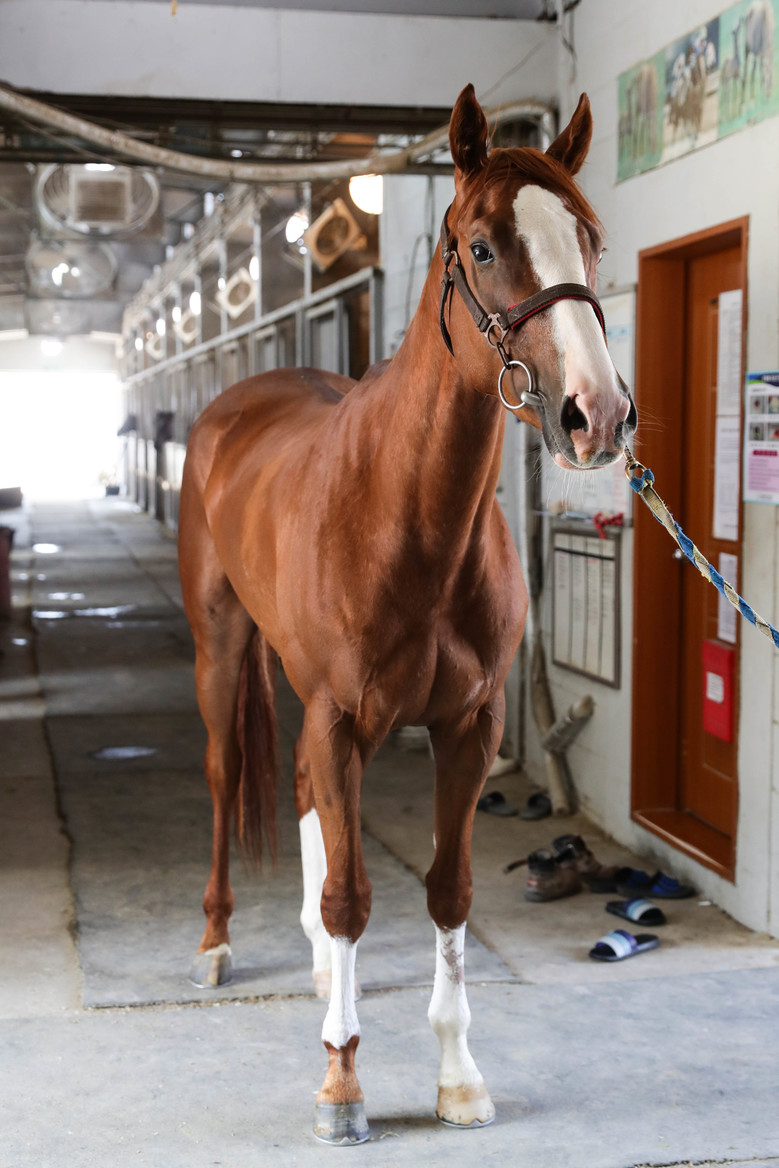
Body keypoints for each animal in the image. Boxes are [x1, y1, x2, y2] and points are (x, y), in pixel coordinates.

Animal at [177, 83, 637, 1144]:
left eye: (589, 239)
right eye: (479, 247)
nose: (594, 415)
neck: (403, 510)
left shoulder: (466, 727)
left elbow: (448, 890)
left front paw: (458, 1078)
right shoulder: (344, 719)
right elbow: (354, 894)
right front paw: (341, 1088)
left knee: (302, 791)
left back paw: (315, 969)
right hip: (223, 651)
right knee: (227, 780)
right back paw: (217, 942)